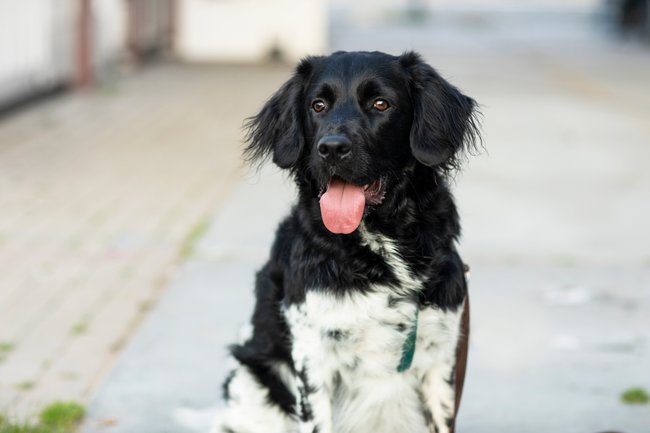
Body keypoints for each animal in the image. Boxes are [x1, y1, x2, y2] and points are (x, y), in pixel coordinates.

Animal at [215, 49, 478, 432]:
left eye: (381, 104)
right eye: (318, 105)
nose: (332, 149)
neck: (380, 251)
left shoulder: (441, 356)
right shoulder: (314, 357)